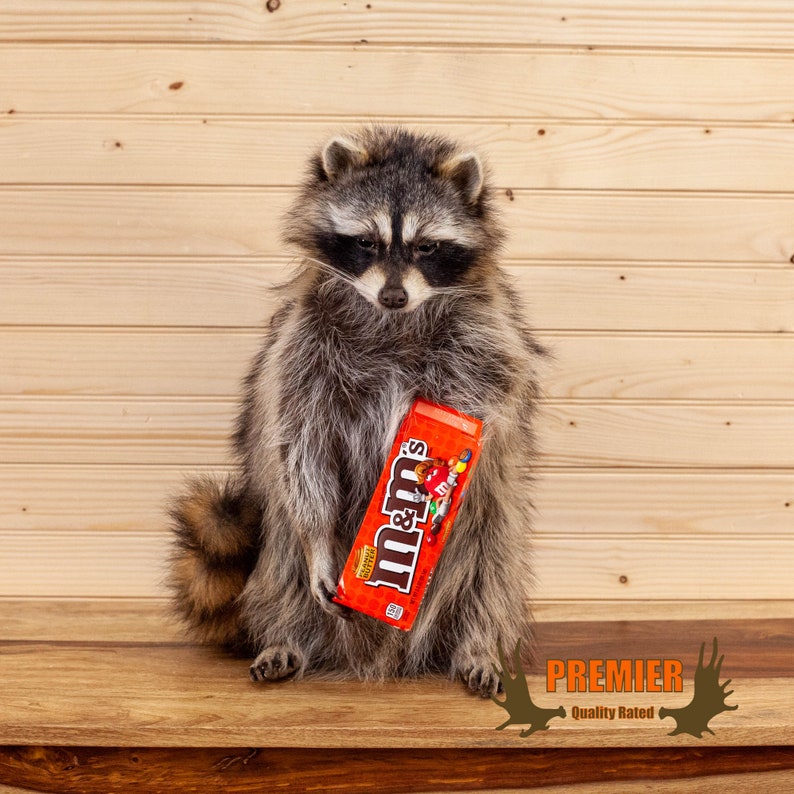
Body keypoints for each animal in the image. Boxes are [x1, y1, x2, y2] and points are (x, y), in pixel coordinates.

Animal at [169, 126, 547, 696]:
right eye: (367, 242)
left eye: (426, 246)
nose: (393, 295)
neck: (391, 320)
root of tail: (381, 657)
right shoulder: (303, 346)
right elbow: (301, 447)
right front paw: (319, 539)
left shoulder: (485, 339)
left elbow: (490, 409)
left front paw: (437, 485)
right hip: (276, 545)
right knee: (281, 571)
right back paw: (284, 638)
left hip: (493, 529)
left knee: (492, 577)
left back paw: (478, 647)